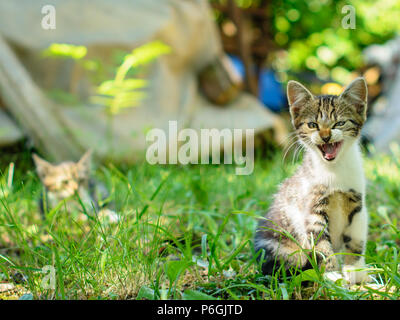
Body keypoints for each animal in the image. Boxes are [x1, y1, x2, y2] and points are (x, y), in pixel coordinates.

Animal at [255, 77, 370, 284]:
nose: (325, 136)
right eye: (312, 125)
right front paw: (332, 275)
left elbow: (356, 241)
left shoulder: (357, 205)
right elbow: (322, 245)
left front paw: (356, 272)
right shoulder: (311, 211)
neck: (334, 170)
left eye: (339, 123)